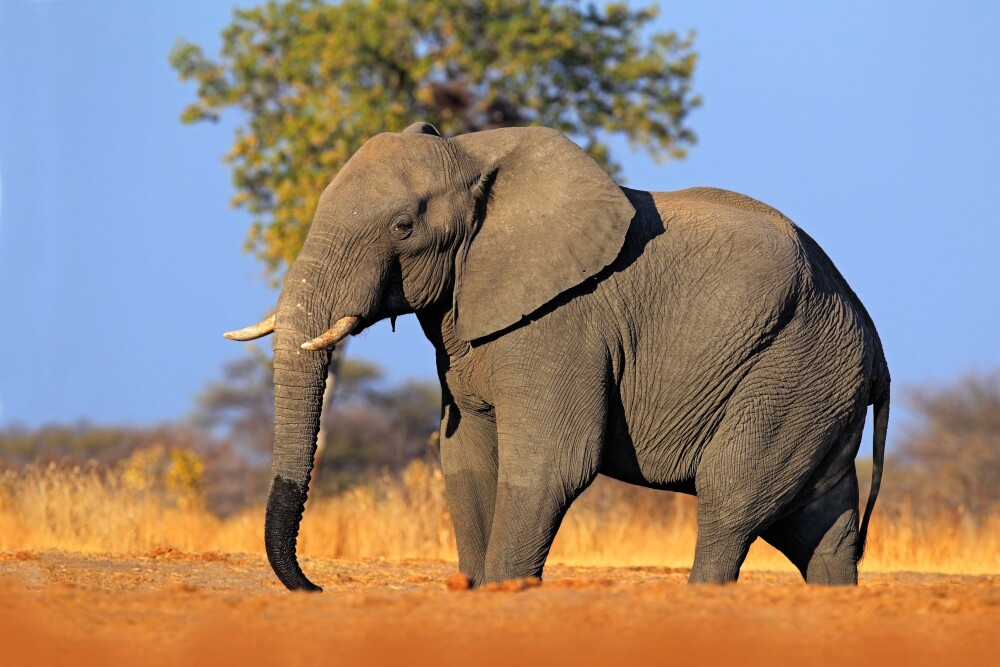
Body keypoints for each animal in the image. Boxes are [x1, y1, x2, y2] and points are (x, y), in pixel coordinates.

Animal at [224, 122, 889, 591]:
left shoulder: (563, 321)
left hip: (795, 368)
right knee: (819, 529)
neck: (471, 156)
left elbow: (550, 464)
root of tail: (878, 349)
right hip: (819, 385)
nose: (315, 587)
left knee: (730, 498)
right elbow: (465, 460)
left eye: (402, 228)